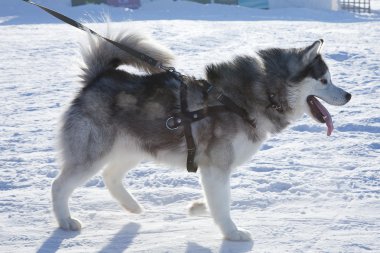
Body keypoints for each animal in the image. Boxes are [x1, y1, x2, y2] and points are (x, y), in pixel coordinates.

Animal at [52, 28, 352, 240]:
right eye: (324, 80)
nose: (349, 95)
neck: (253, 96)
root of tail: (97, 79)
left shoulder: (213, 169)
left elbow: (218, 199)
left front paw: (198, 207)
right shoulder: (216, 165)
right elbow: (223, 201)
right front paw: (232, 232)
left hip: (134, 148)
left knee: (110, 176)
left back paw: (132, 206)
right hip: (94, 153)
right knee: (59, 185)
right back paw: (65, 220)